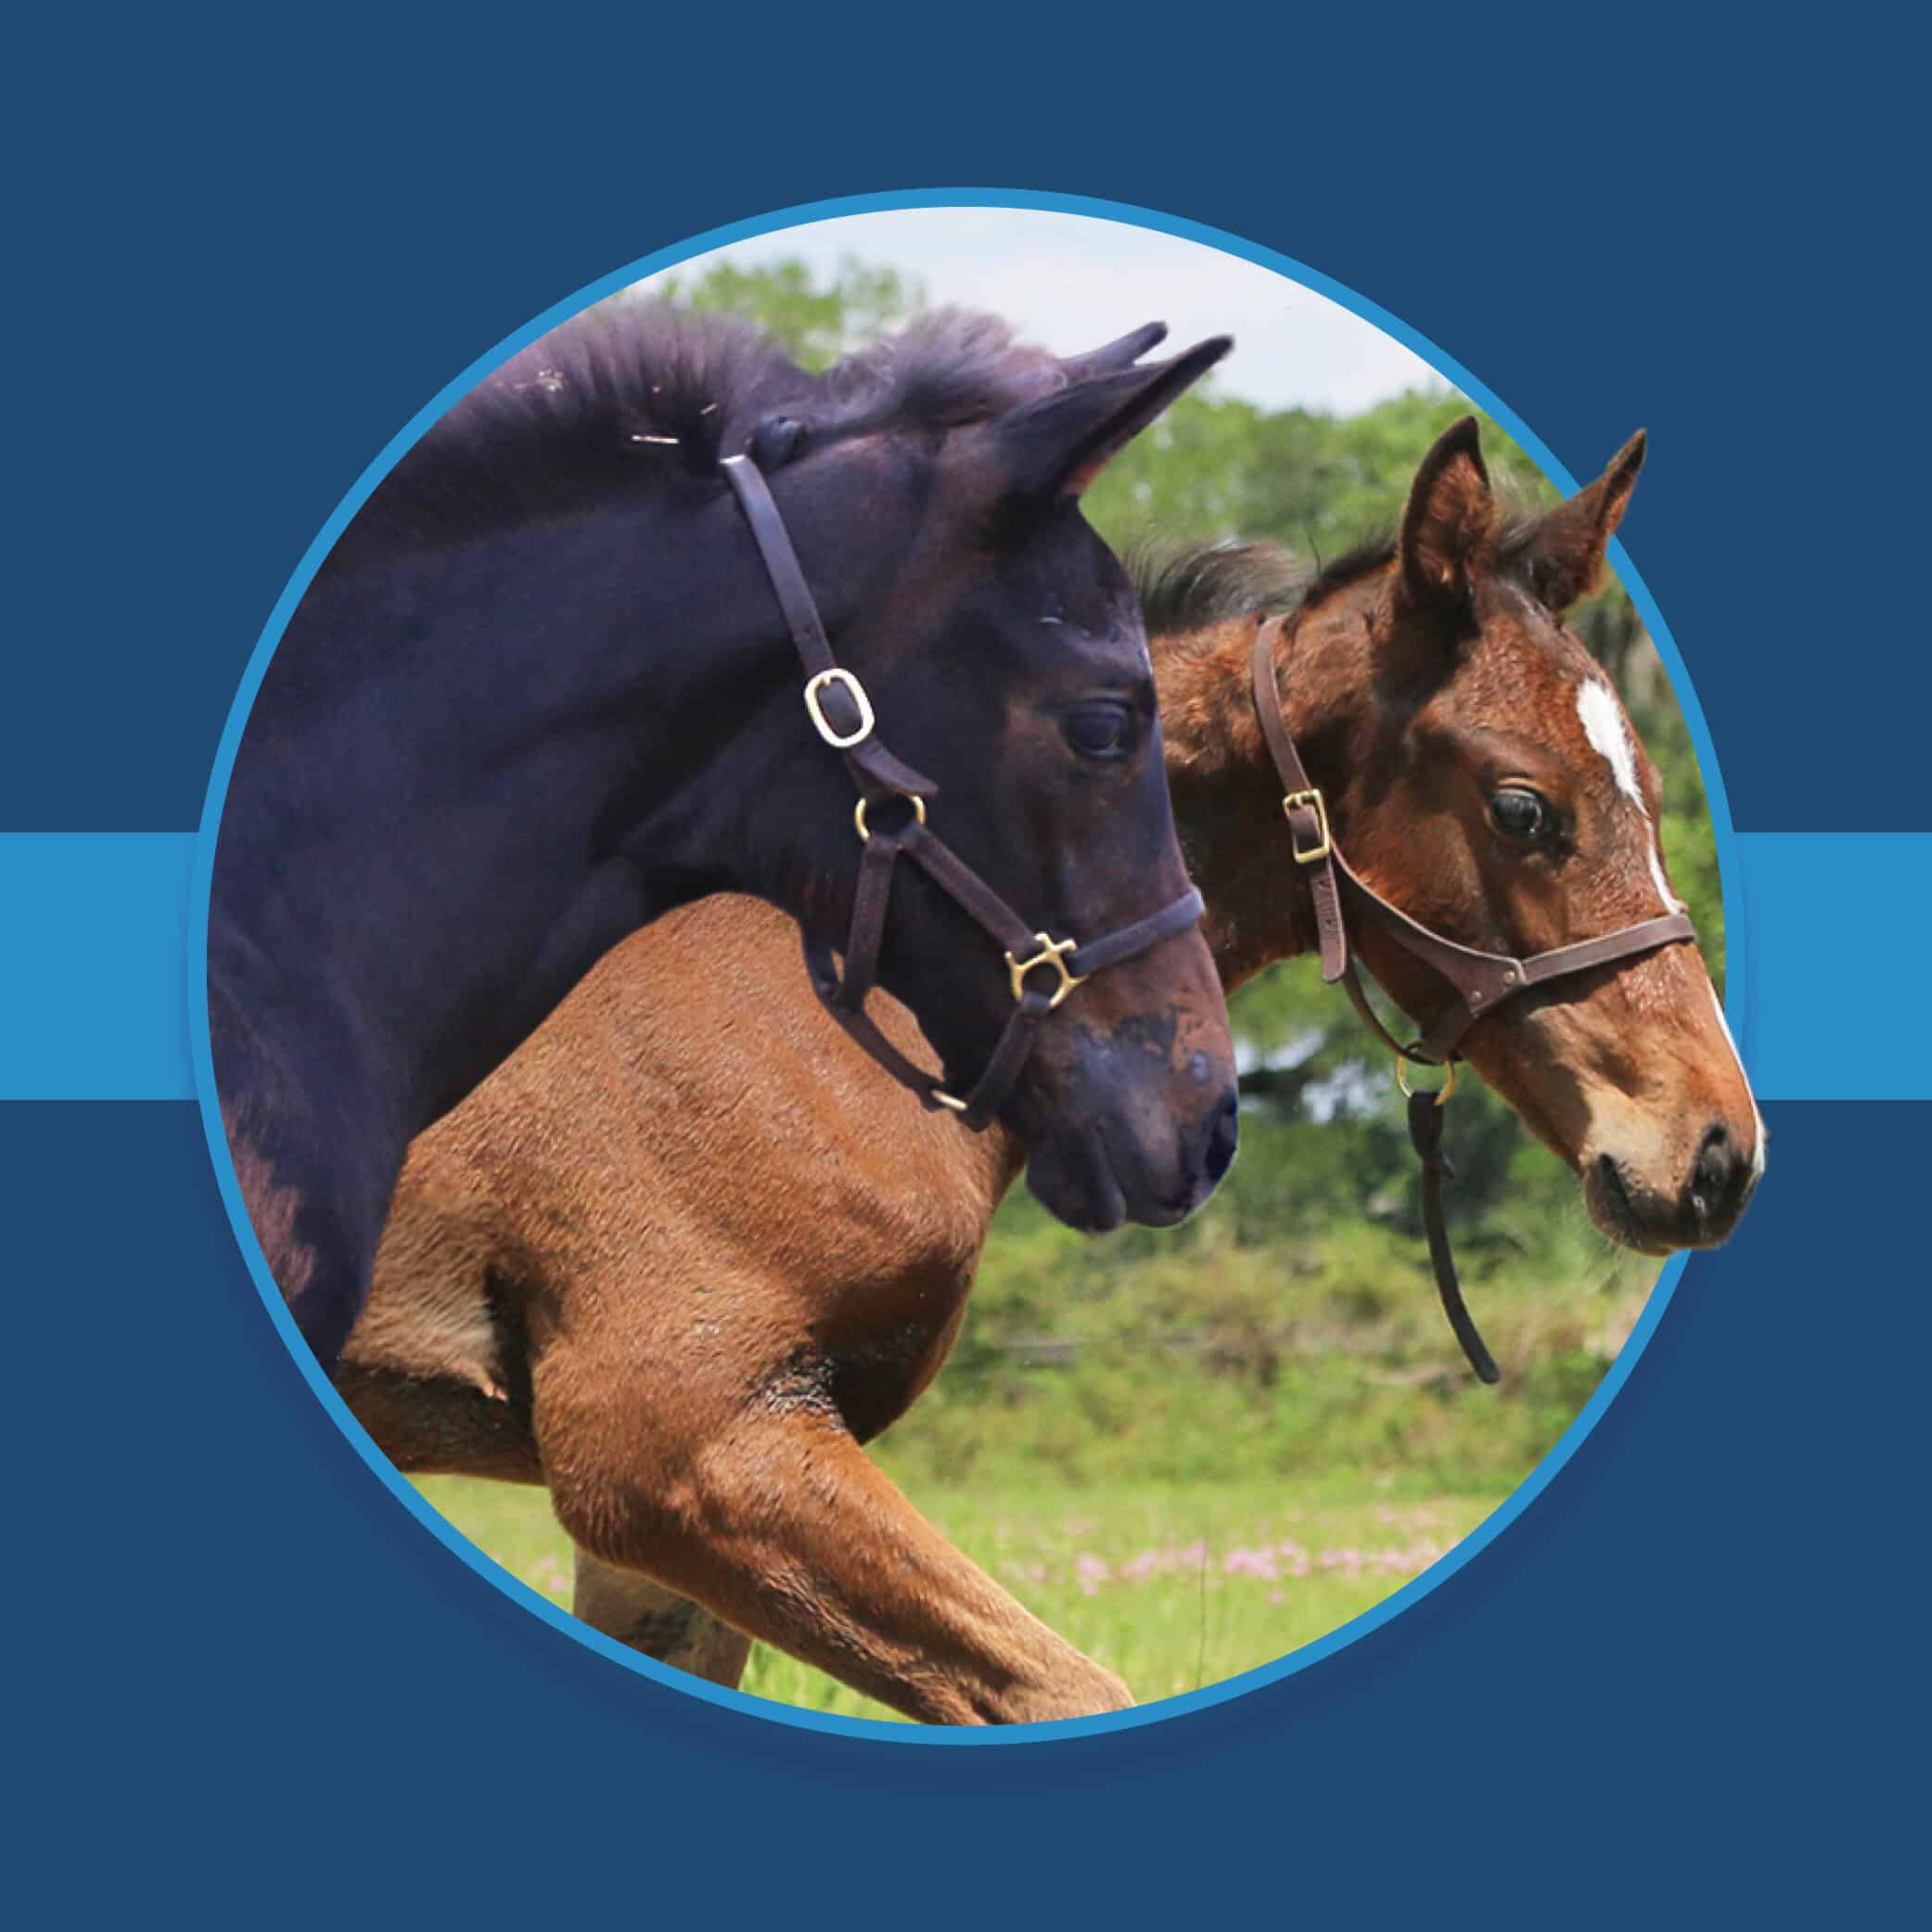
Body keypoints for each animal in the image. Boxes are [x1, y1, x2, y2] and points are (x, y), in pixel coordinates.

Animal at [341, 419, 1764, 1723]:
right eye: (1523, 807)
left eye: (1650, 783)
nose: (1714, 1152)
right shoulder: (677, 1435)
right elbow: (1063, 1688)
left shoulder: (674, 1509)